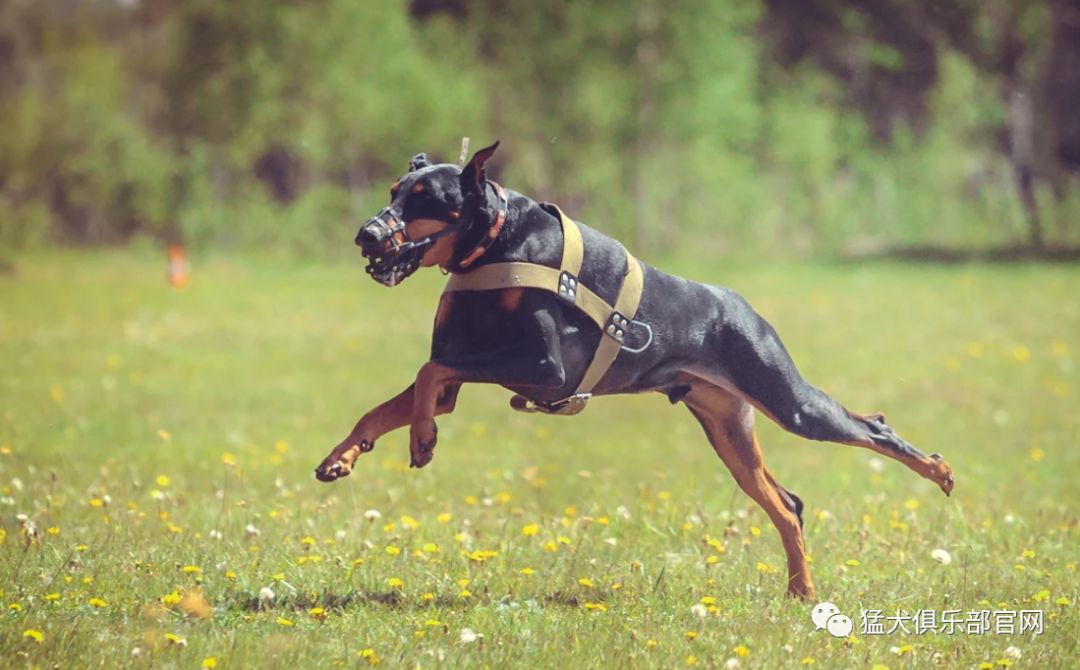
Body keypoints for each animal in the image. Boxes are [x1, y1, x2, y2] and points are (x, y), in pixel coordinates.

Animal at [315, 142, 959, 600]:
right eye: (395, 189)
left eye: (425, 198)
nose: (365, 234)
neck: (495, 244)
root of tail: (743, 307)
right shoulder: (466, 373)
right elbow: (401, 395)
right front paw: (344, 455)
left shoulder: (545, 368)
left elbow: (430, 370)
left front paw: (421, 440)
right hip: (728, 431)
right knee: (788, 504)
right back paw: (800, 591)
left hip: (790, 402)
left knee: (870, 426)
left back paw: (937, 469)